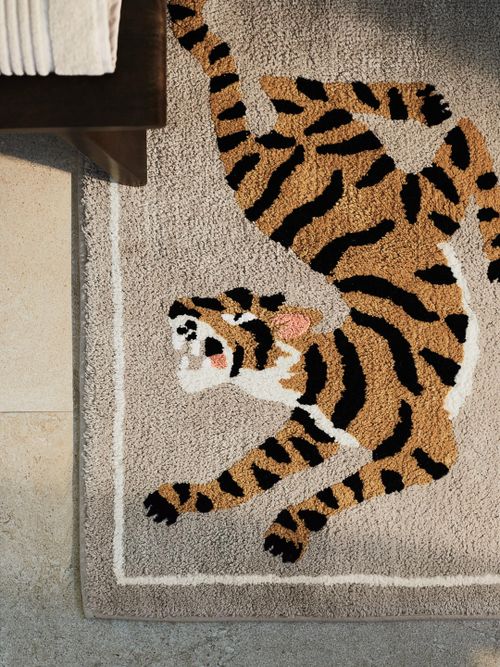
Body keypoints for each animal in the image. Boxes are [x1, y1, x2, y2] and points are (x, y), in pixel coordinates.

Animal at [144, 0, 500, 563]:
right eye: (213, 296)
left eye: (236, 313)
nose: (179, 312)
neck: (297, 373)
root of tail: (272, 142)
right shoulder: (309, 432)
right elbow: (244, 476)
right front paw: (182, 499)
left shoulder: (428, 449)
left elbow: (346, 489)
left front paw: (289, 530)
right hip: (269, 174)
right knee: (285, 82)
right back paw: (420, 103)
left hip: (407, 198)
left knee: (467, 134)